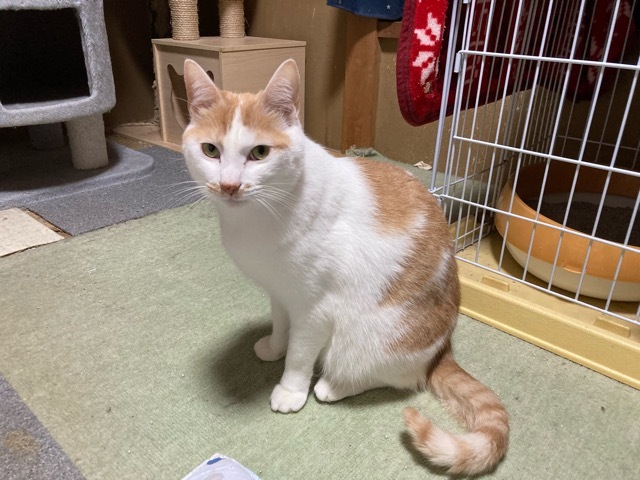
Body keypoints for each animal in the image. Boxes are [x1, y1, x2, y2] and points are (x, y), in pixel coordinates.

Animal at [181, 58, 509, 475]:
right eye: (210, 150)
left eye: (259, 152)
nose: (228, 185)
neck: (257, 220)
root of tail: (443, 348)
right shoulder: (281, 292)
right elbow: (281, 325)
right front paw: (274, 346)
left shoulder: (316, 309)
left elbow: (300, 356)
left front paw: (290, 389)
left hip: (369, 339)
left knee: (393, 377)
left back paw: (333, 386)